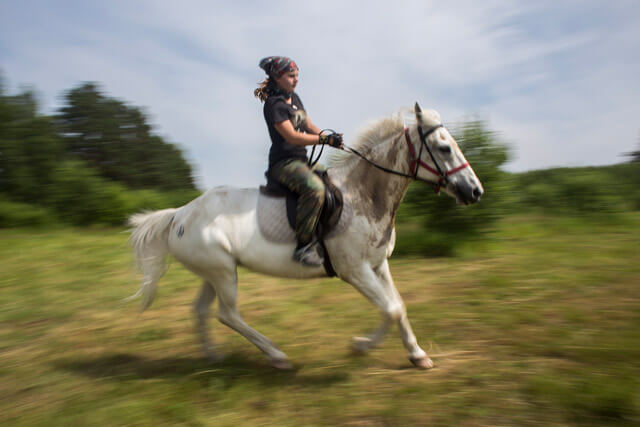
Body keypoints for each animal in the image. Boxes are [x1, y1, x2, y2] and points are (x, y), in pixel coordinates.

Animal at [127, 104, 482, 372]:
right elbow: (391, 308)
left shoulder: (378, 265)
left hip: (214, 272)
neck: (363, 195)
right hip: (223, 272)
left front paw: (416, 355)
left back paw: (213, 355)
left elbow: (398, 306)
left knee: (201, 310)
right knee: (228, 315)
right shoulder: (354, 270)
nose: (475, 191)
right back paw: (277, 356)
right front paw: (361, 346)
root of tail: (179, 214)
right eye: (444, 148)